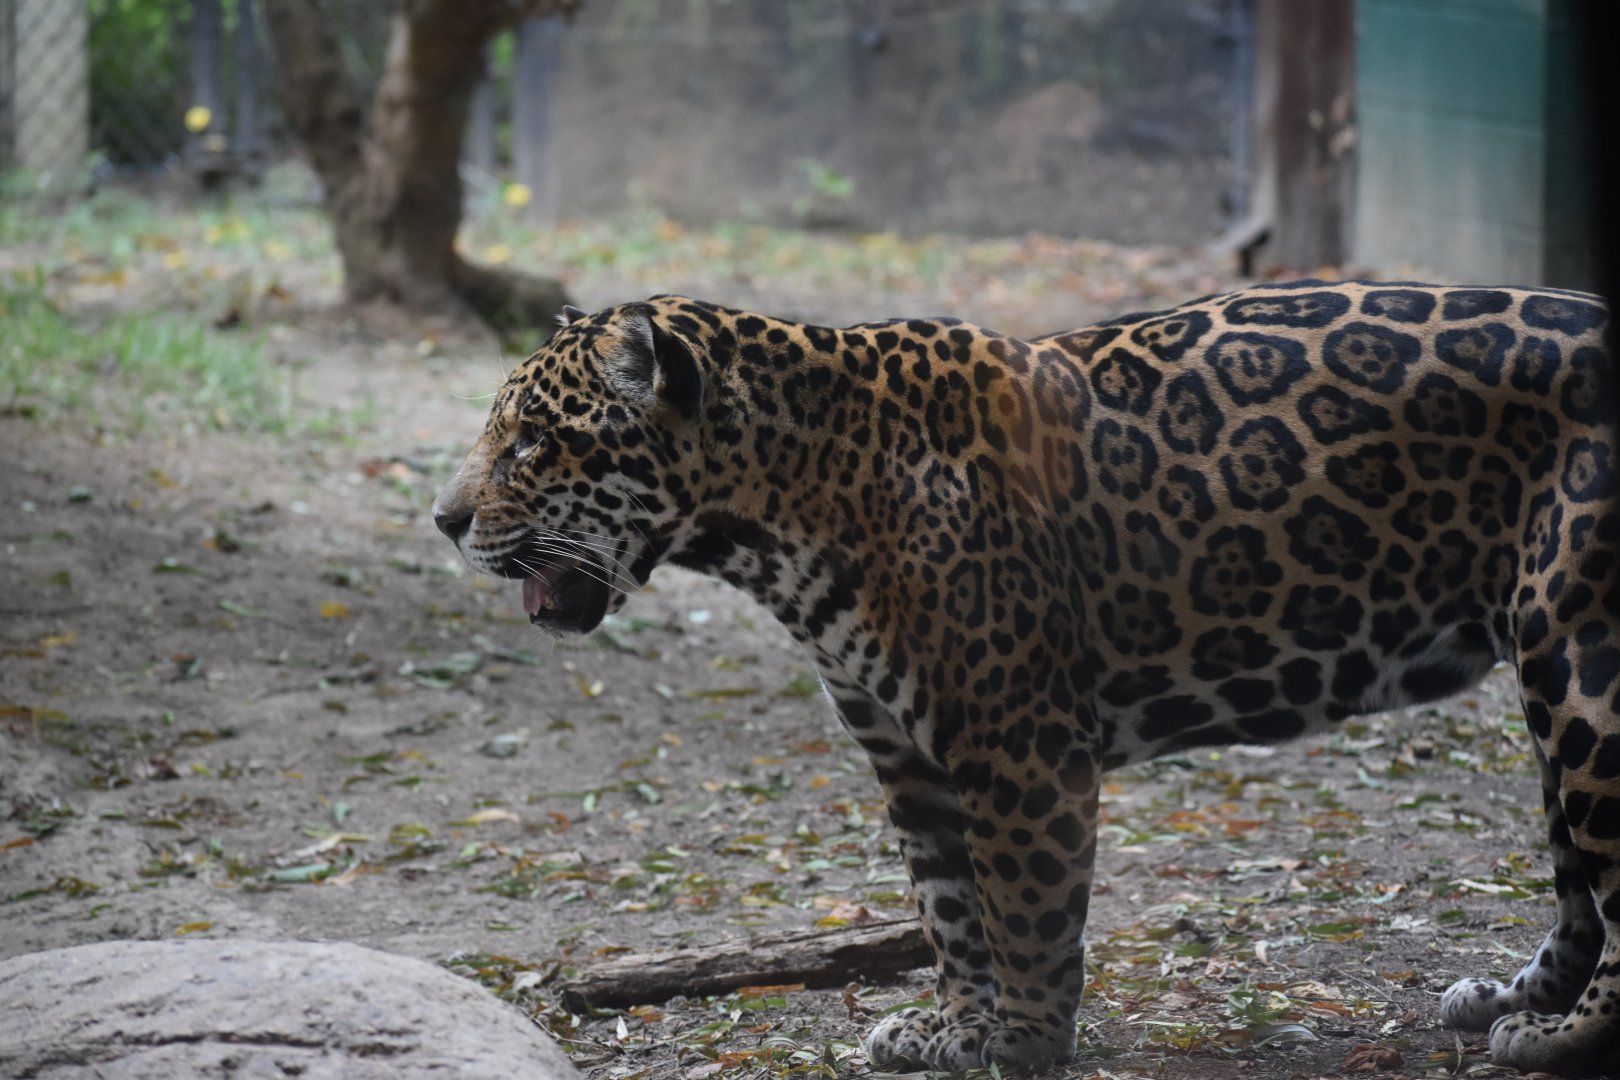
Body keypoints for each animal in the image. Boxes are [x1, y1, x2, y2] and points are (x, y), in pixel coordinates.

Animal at [432, 282, 1616, 1074]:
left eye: (531, 441)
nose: (443, 520)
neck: (783, 504)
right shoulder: (908, 757)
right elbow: (951, 910)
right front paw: (953, 1029)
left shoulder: (1019, 743)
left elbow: (1026, 908)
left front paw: (1028, 1043)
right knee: (1578, 886)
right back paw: (1507, 1003)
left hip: (1582, 663)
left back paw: (1563, 1036)